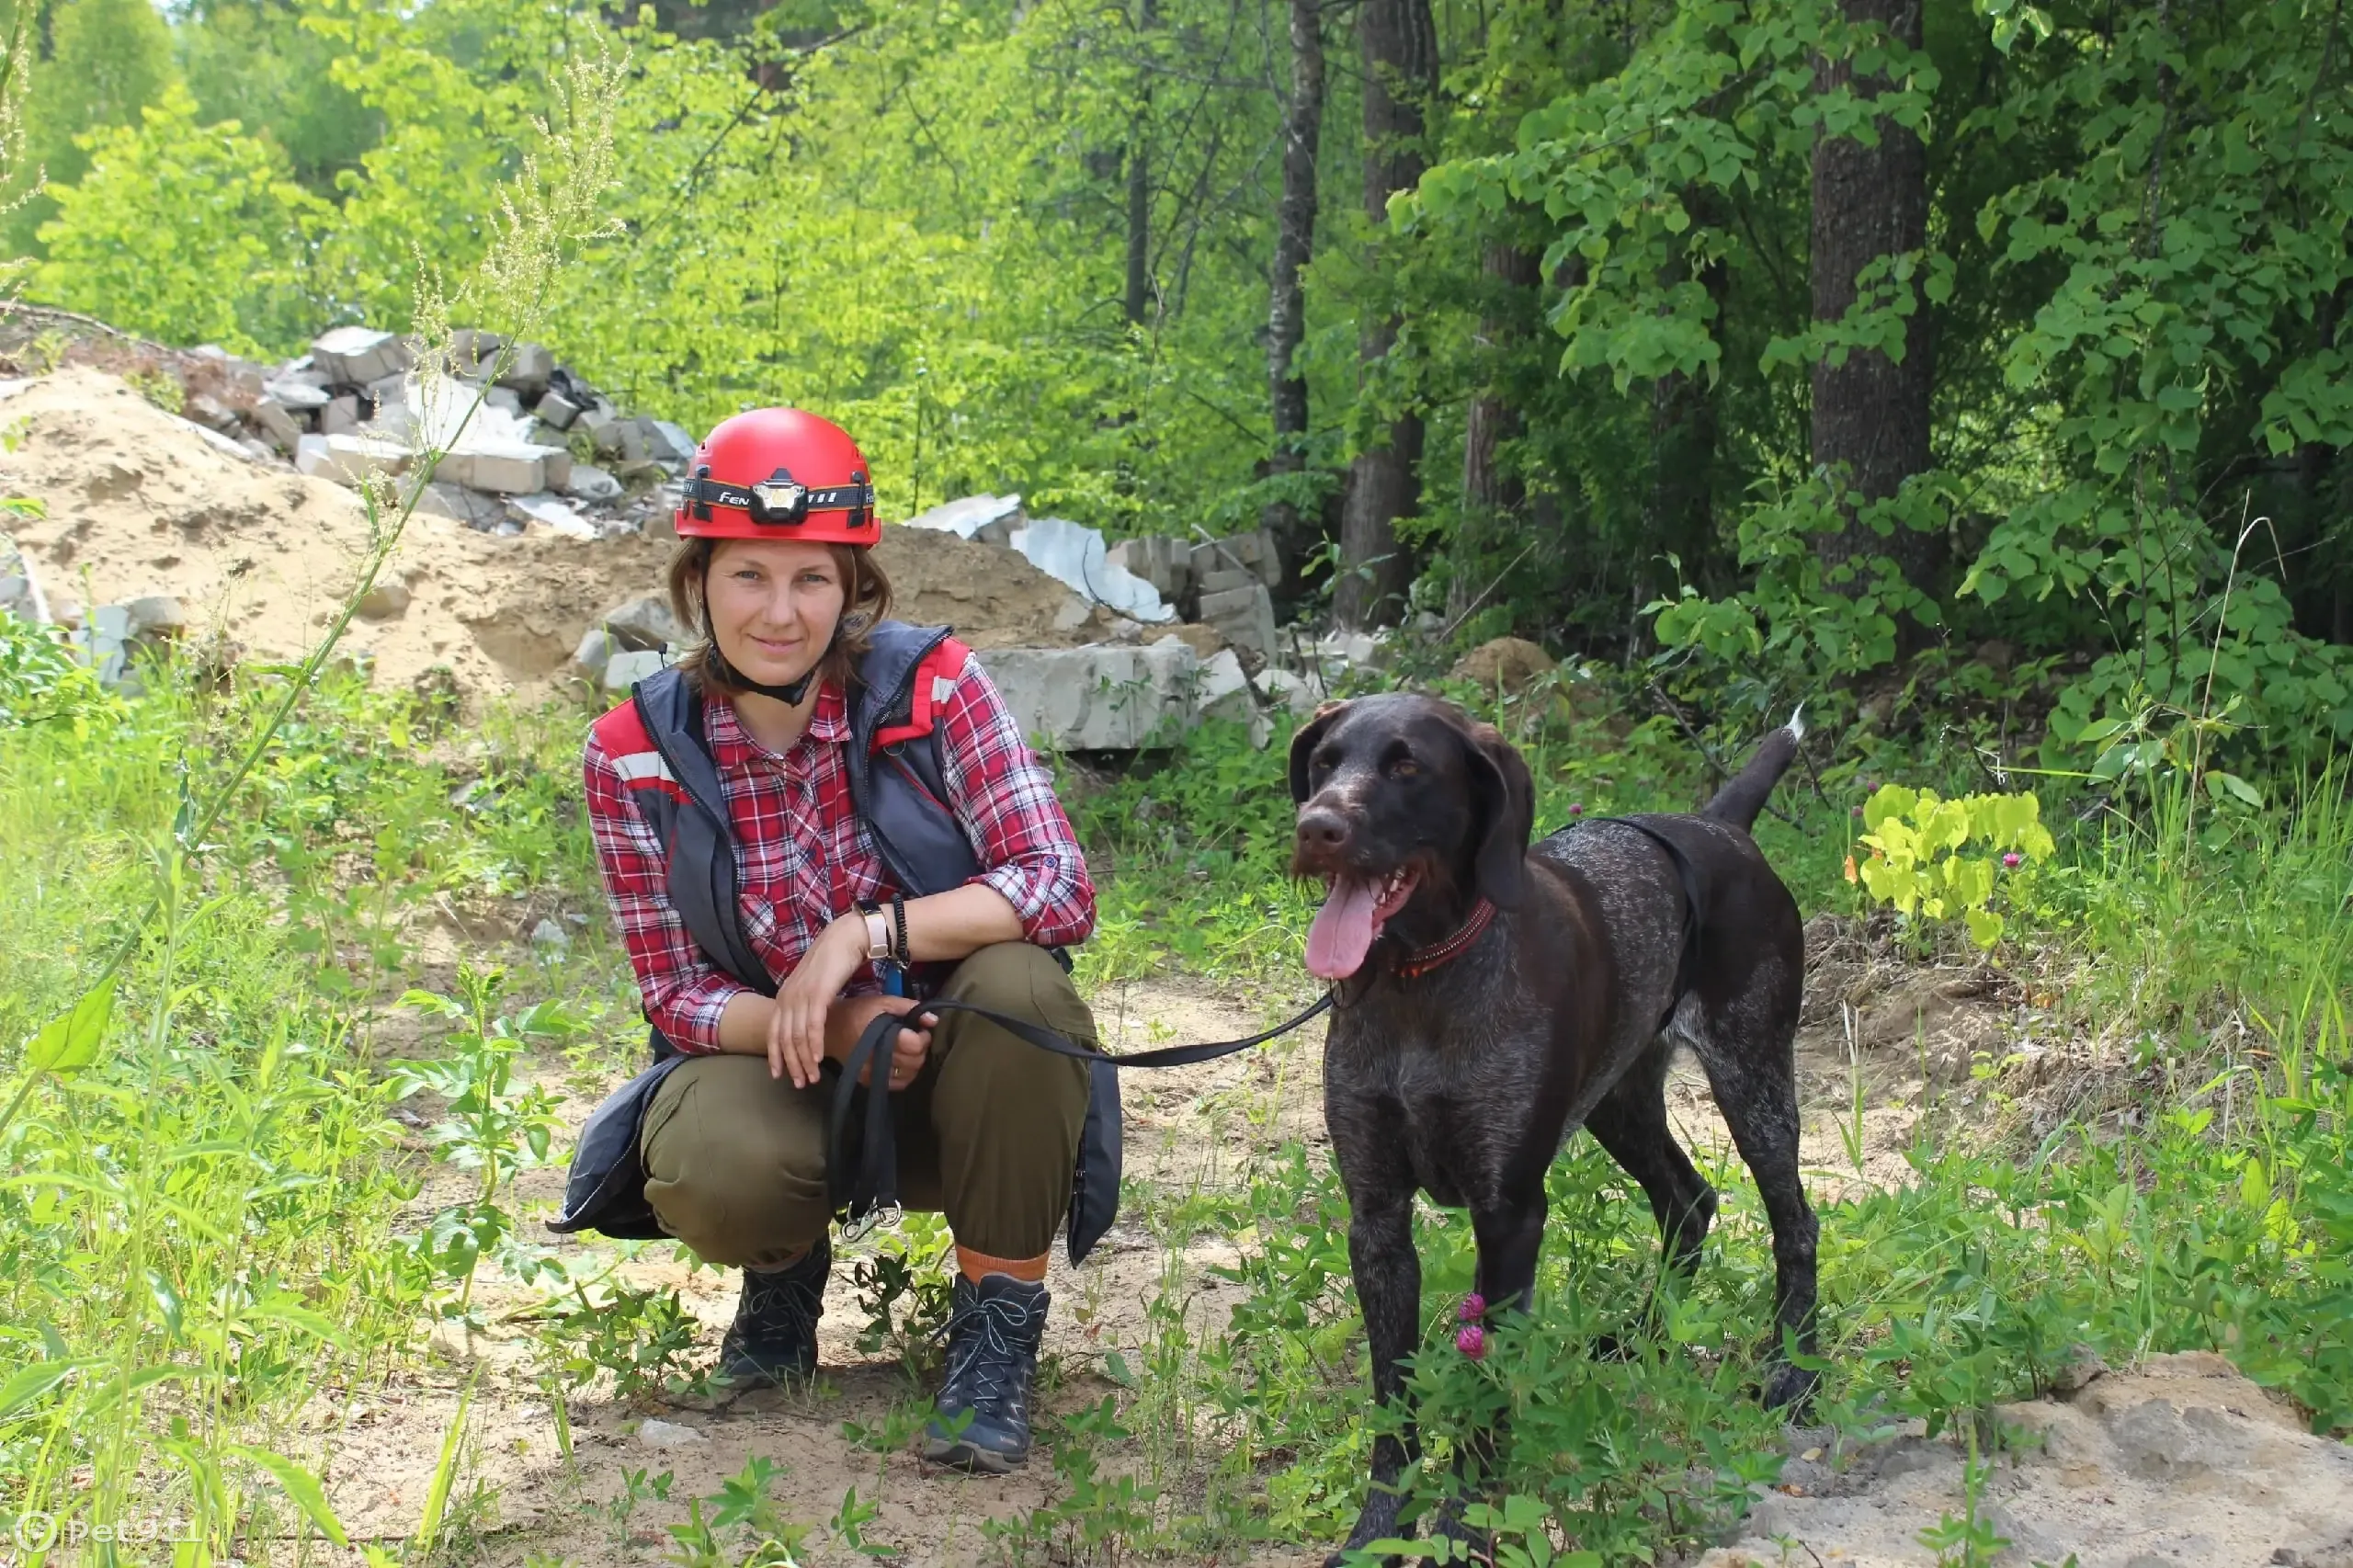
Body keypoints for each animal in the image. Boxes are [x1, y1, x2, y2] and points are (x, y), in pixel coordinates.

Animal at [1289, 697, 1816, 1562]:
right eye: (1325, 762)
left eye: (1407, 766)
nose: (1315, 827)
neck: (1422, 979)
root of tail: (1720, 826)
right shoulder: (1376, 1220)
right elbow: (1393, 1400)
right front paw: (1379, 1532)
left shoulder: (1509, 1218)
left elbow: (1482, 1396)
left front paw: (1465, 1531)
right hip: (1619, 1101)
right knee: (1689, 1200)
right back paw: (1645, 1338)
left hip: (1754, 1078)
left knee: (1796, 1224)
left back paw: (1795, 1373)